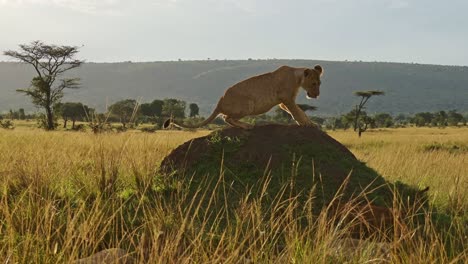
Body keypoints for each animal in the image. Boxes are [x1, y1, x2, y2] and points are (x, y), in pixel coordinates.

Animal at [164, 64, 322, 129]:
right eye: (314, 83)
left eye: (320, 83)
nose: (317, 95)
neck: (297, 78)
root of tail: (220, 101)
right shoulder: (287, 99)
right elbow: (297, 112)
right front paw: (306, 124)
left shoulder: (284, 102)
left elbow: (299, 111)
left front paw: (311, 123)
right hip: (248, 104)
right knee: (226, 118)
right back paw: (247, 126)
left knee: (226, 117)